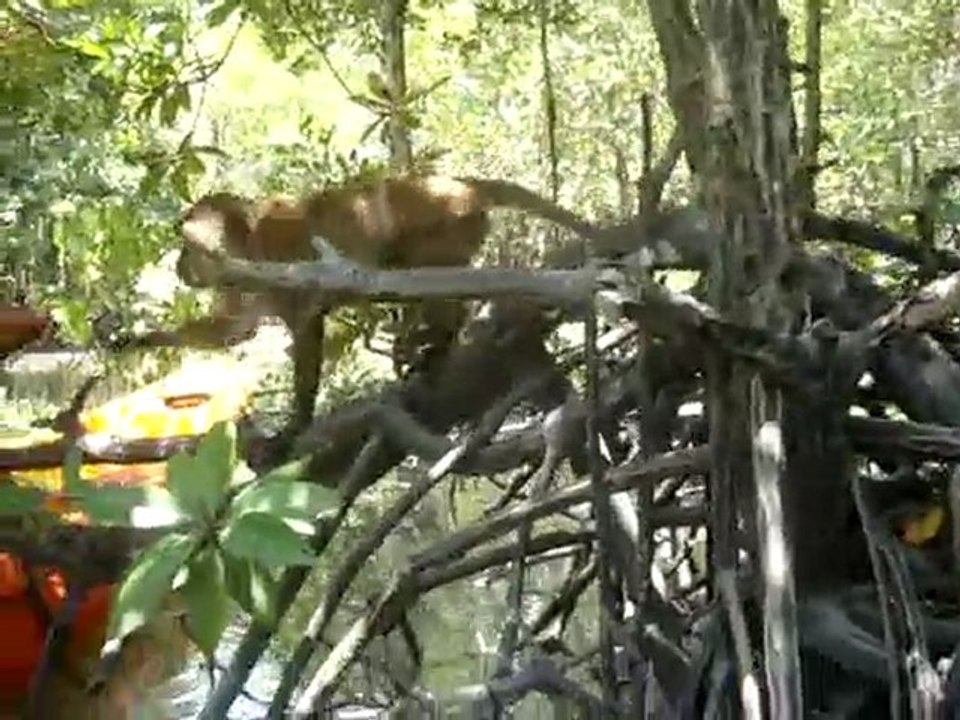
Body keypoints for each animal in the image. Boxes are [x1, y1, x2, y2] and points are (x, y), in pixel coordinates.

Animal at [146, 175, 606, 444]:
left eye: (186, 248)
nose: (180, 265)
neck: (246, 243)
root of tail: (456, 181)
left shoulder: (277, 256)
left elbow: (305, 327)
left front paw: (296, 425)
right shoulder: (243, 281)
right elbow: (235, 331)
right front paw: (137, 337)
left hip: (446, 223)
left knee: (421, 269)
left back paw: (434, 344)